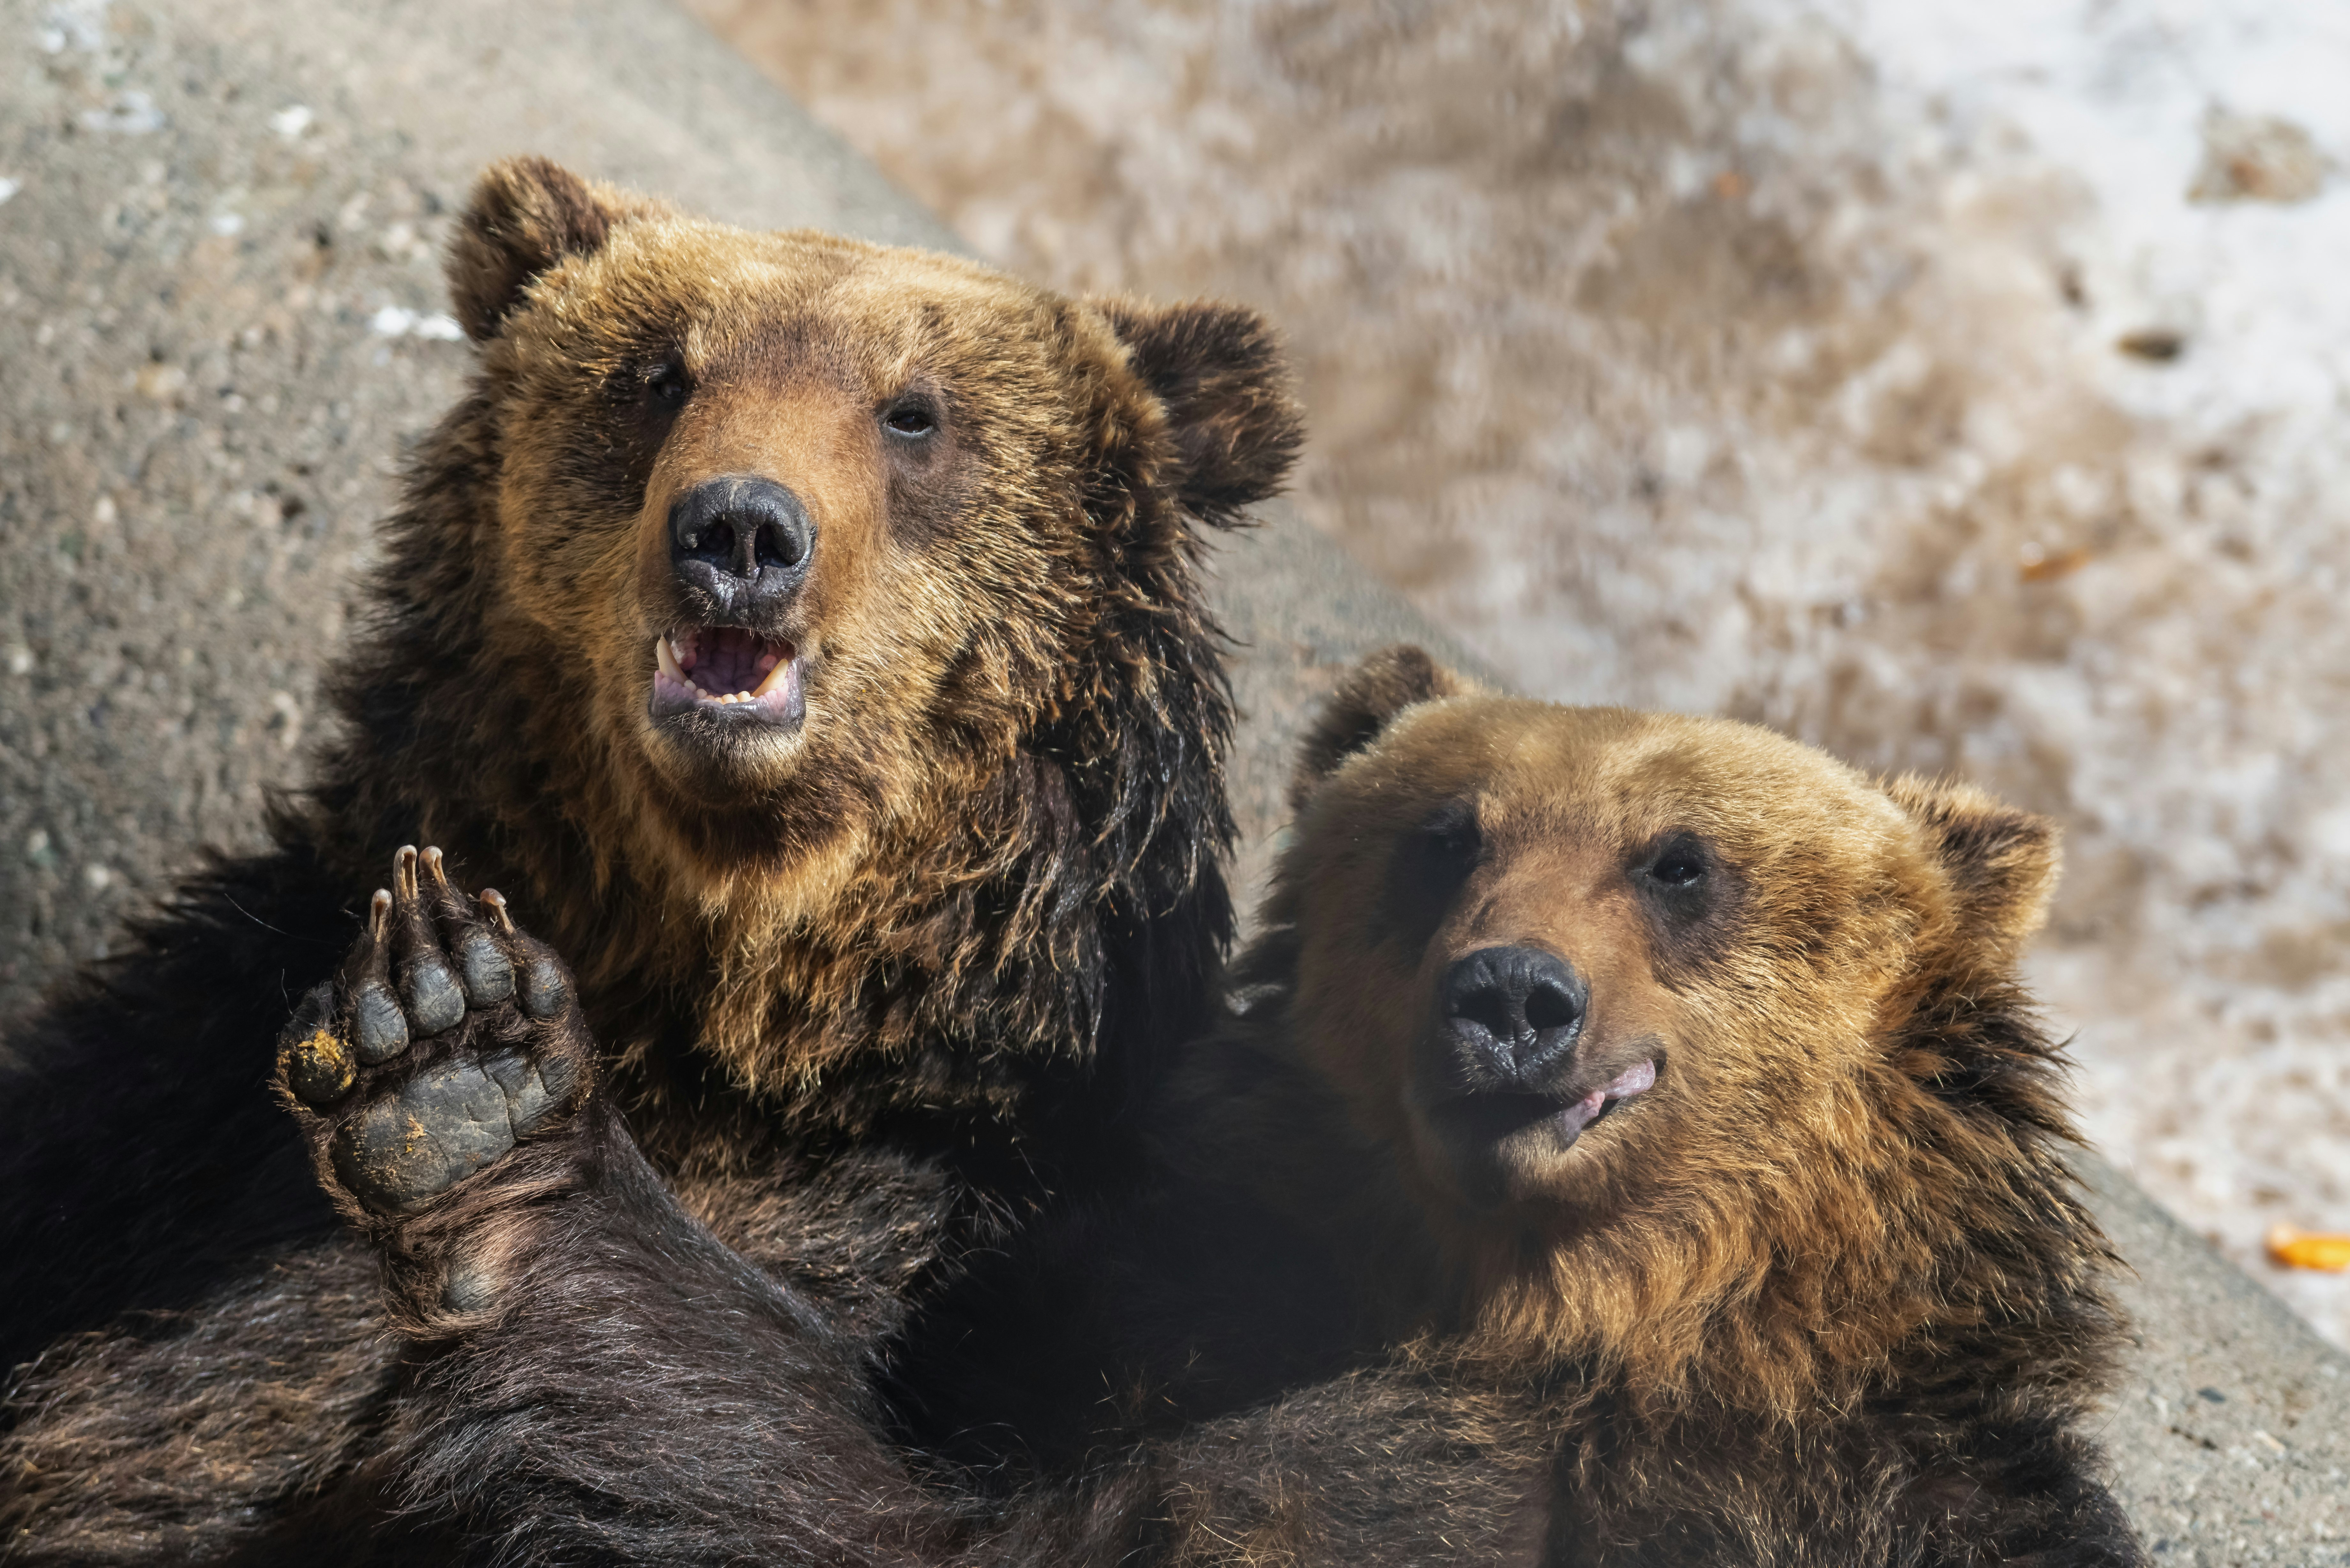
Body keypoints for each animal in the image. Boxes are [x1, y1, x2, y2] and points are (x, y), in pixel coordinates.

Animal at [0, 154, 1300, 1559]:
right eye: (660, 372)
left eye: (915, 412)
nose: (739, 533)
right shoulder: (175, 1101)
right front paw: (441, 1025)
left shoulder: (1008, 1235)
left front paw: (469, 1067)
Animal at [266, 646, 2139, 1566]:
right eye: (1444, 834)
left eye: (1681, 864)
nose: (1510, 996)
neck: (1546, 1312)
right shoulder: (1080, 1339)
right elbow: (807, 1468)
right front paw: (466, 1060)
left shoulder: (1866, 1494)